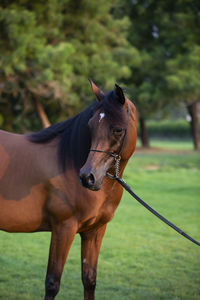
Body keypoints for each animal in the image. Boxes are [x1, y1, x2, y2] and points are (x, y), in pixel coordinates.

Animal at [0, 81, 137, 298]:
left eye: (117, 130)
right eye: (90, 126)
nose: (87, 177)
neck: (68, 159)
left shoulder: (94, 231)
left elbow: (89, 280)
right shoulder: (64, 228)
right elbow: (52, 283)